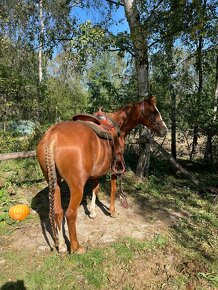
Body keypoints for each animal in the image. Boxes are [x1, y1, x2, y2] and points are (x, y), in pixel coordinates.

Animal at [36, 96, 168, 253]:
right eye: (153, 111)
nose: (164, 130)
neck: (118, 124)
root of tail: (53, 136)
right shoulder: (115, 168)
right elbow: (113, 189)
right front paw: (112, 211)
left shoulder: (97, 171)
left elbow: (95, 189)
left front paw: (92, 212)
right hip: (76, 187)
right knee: (70, 214)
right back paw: (76, 247)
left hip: (54, 183)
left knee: (58, 212)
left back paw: (61, 245)